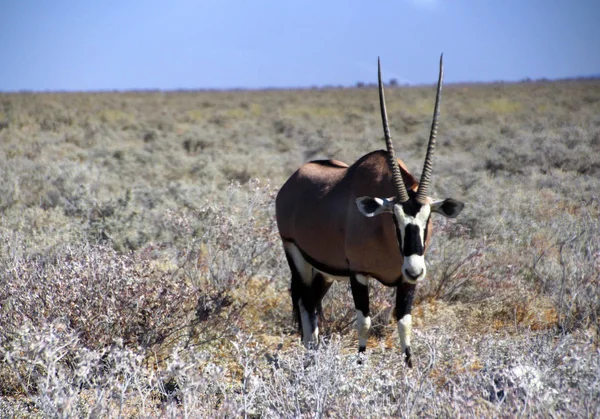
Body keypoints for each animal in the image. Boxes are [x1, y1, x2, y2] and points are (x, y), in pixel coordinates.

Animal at [276, 56, 464, 368]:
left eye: (427, 220)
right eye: (394, 218)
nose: (415, 269)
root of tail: (291, 182)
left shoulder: (405, 282)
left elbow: (404, 323)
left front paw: (409, 368)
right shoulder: (359, 274)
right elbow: (363, 322)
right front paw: (360, 365)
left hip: (324, 272)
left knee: (313, 303)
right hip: (296, 257)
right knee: (306, 305)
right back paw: (309, 357)